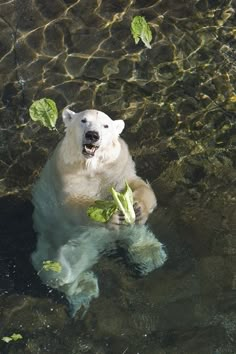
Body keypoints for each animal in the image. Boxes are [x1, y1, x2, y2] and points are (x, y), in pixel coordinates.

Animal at [31, 108, 167, 316]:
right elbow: (72, 204)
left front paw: (138, 207)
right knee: (56, 272)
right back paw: (84, 289)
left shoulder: (116, 167)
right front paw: (109, 215)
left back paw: (150, 255)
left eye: (106, 125)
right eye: (83, 120)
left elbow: (134, 183)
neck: (91, 166)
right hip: (55, 246)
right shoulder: (66, 173)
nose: (92, 135)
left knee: (135, 232)